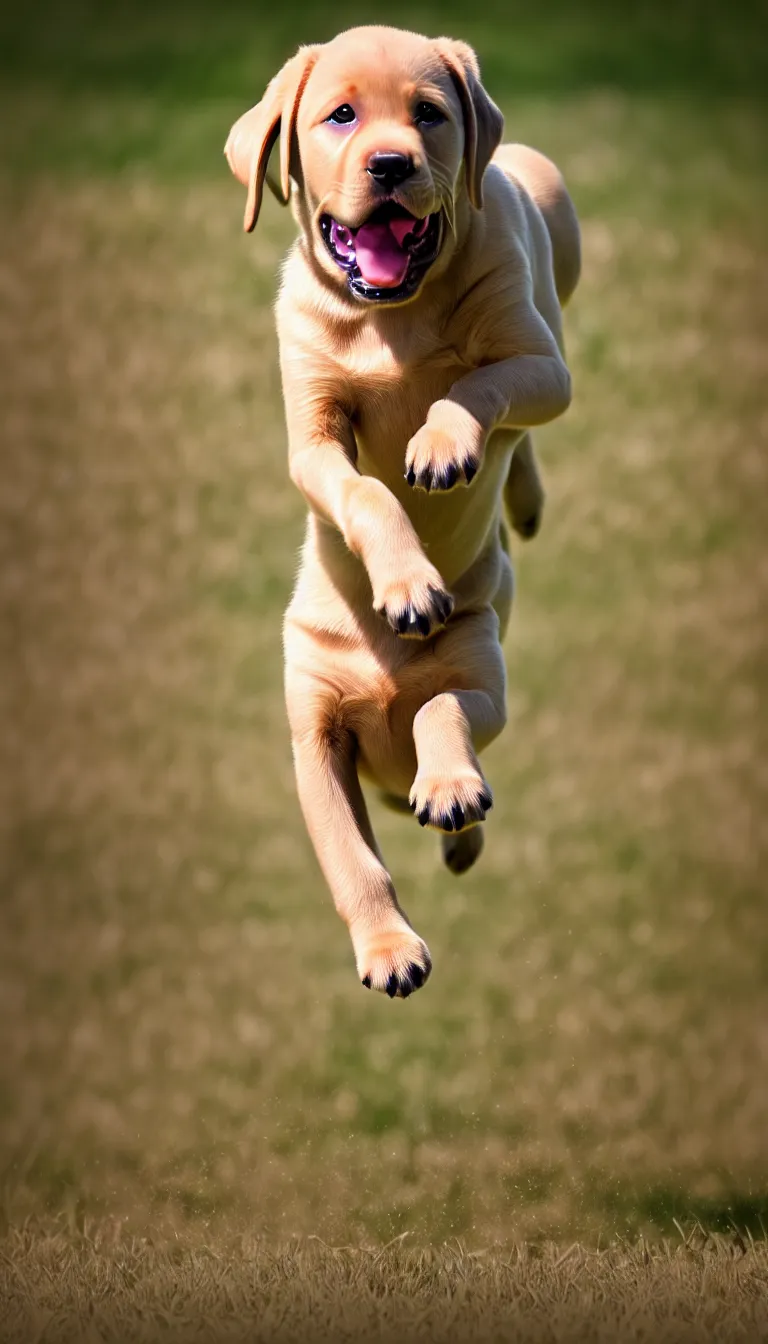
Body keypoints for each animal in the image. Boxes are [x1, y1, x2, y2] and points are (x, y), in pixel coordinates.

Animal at [225, 26, 581, 999]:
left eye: (427, 114)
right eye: (341, 115)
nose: (392, 163)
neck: (394, 312)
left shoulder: (537, 365)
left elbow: (474, 387)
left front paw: (440, 447)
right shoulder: (314, 739)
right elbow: (367, 491)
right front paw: (388, 949)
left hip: (553, 235)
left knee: (525, 426)